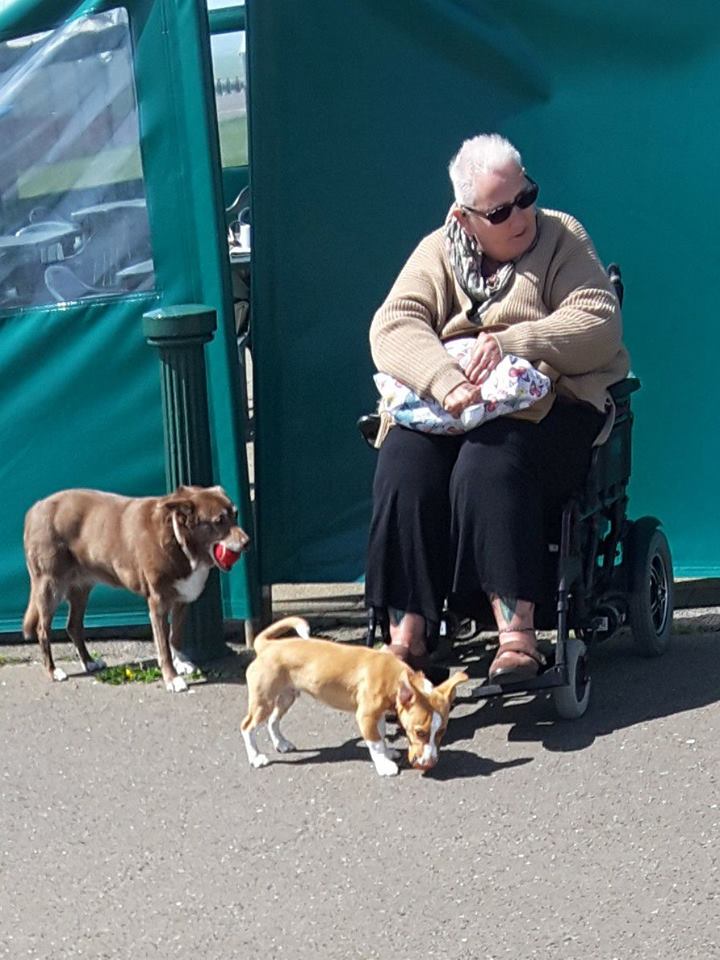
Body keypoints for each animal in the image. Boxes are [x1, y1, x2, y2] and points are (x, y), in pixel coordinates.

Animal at [22, 488, 249, 688]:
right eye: (219, 521)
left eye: (236, 514)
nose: (247, 542)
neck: (177, 539)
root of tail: (35, 508)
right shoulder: (158, 604)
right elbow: (163, 647)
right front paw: (172, 678)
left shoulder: (181, 600)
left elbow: (175, 637)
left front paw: (181, 663)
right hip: (50, 585)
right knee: (42, 629)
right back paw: (53, 670)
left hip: (81, 588)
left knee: (73, 626)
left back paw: (89, 662)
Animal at [239, 620, 470, 776]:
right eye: (419, 732)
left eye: (441, 732)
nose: (430, 763)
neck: (394, 676)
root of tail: (267, 646)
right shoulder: (365, 716)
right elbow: (375, 742)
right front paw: (384, 765)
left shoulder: (378, 715)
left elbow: (382, 735)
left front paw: (388, 752)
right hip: (263, 701)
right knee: (247, 726)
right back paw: (255, 757)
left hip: (285, 697)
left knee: (272, 721)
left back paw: (281, 743)